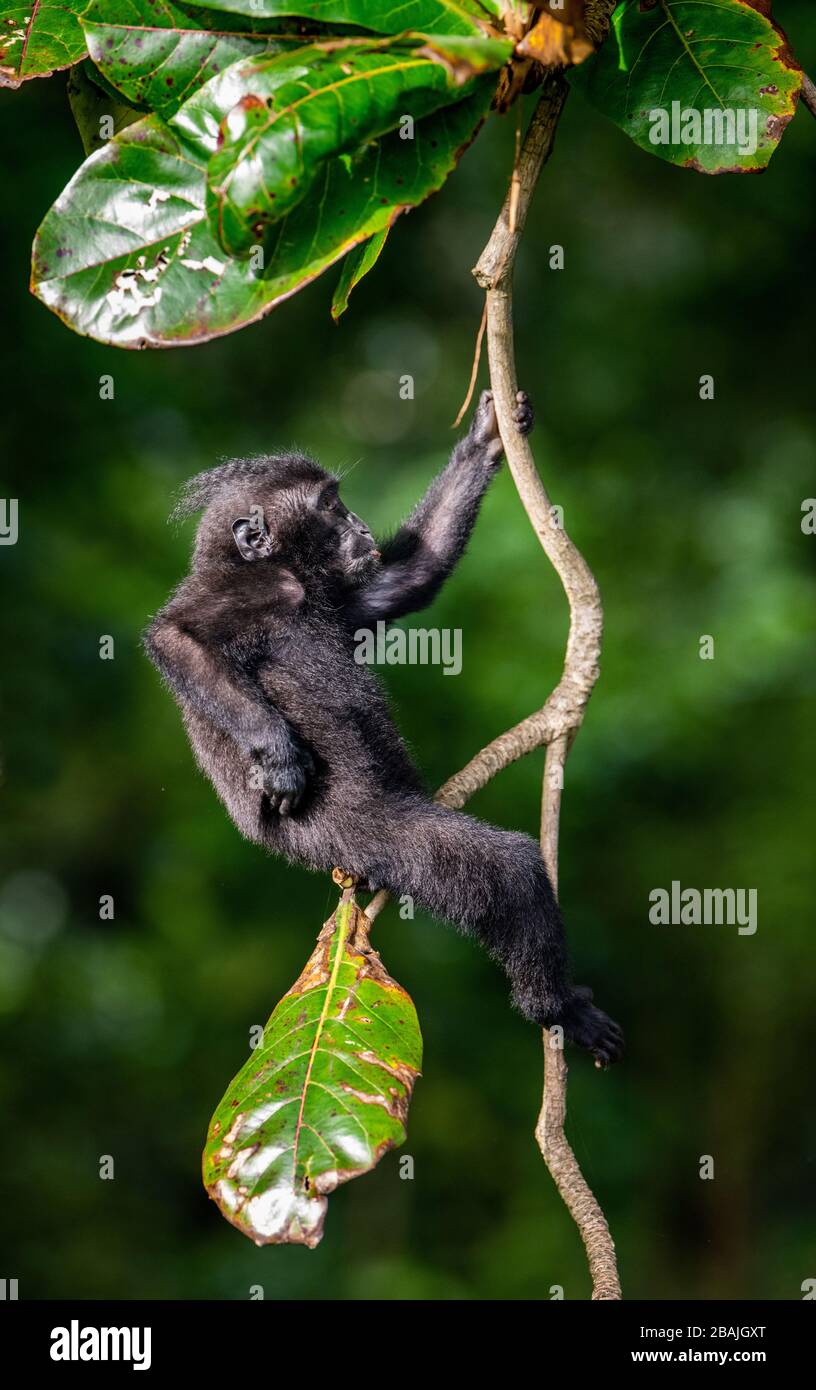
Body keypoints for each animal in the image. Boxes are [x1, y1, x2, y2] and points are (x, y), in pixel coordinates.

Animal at [145, 390, 623, 1065]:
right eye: (330, 507)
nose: (360, 526)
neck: (297, 580)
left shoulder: (345, 594)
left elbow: (409, 577)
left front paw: (489, 434)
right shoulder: (258, 587)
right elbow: (177, 637)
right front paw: (279, 757)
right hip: (354, 830)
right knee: (505, 873)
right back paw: (555, 1008)